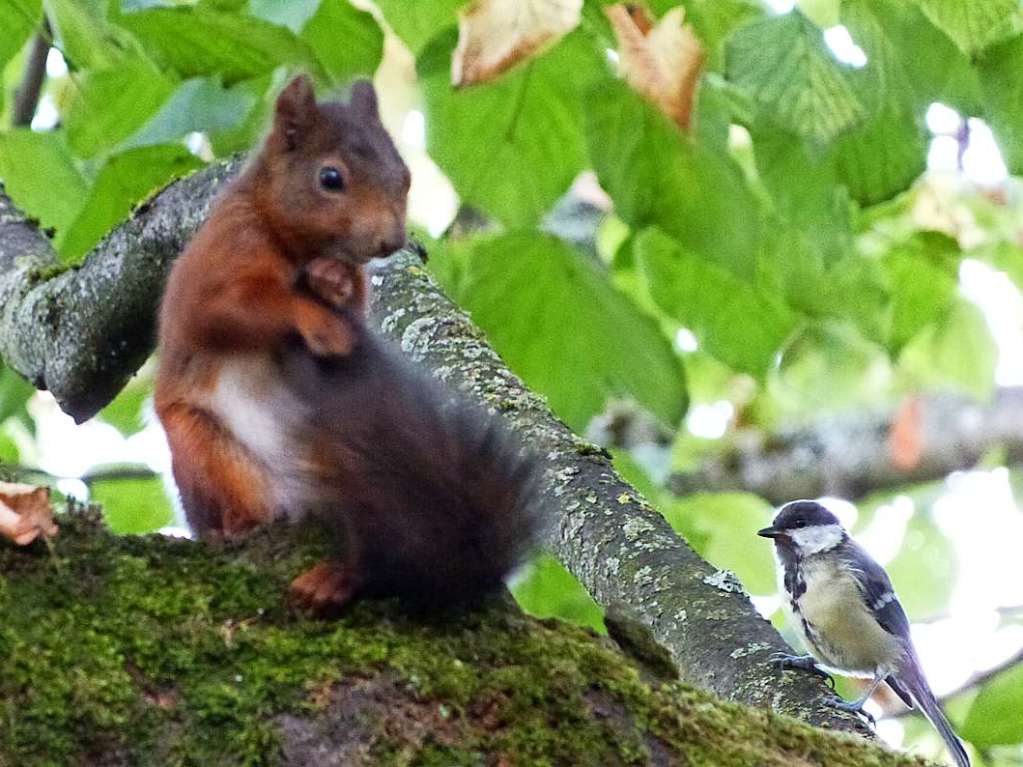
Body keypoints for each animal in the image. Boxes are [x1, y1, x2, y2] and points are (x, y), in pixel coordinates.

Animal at [155, 78, 540, 617]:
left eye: (404, 176)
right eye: (330, 177)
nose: (391, 241)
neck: (294, 246)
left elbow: (347, 299)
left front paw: (331, 283)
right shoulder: (220, 256)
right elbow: (221, 311)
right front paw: (320, 321)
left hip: (355, 465)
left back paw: (340, 577)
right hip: (205, 451)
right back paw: (234, 528)